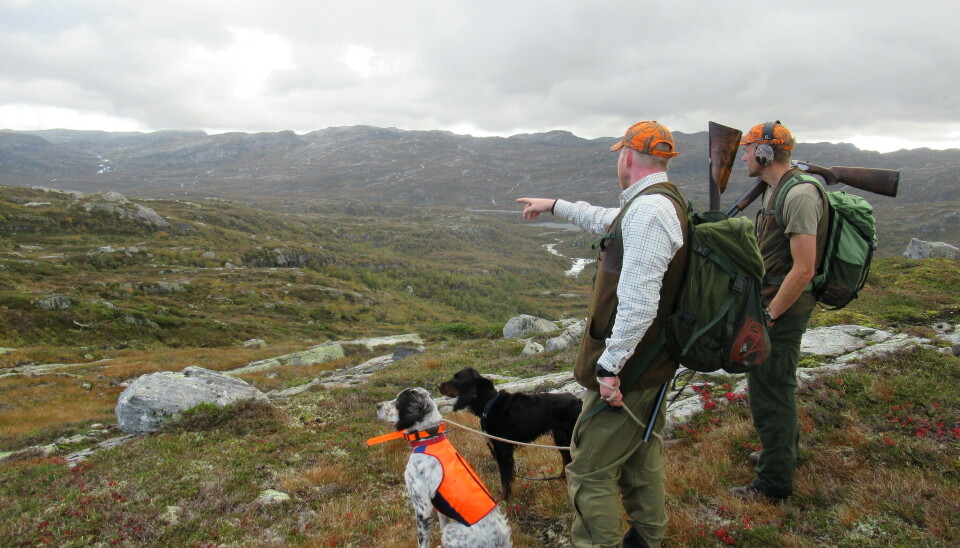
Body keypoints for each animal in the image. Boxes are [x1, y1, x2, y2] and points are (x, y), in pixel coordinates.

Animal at [370, 388, 516, 544]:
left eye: (398, 402)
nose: (377, 406)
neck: (430, 438)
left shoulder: (423, 507)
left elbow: (423, 541)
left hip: (451, 531)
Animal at [438, 366, 580, 498]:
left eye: (456, 378)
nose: (438, 385)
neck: (489, 404)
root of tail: (578, 401)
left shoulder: (502, 450)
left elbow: (505, 481)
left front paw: (505, 502)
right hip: (560, 438)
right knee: (566, 459)